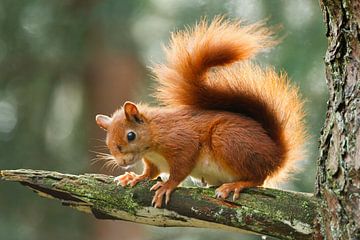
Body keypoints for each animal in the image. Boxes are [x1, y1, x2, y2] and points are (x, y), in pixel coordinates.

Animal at [95, 16, 306, 208]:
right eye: (107, 142)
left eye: (131, 135)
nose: (122, 162)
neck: (154, 137)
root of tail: (275, 156)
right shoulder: (153, 161)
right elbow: (150, 173)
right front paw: (134, 177)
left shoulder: (181, 141)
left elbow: (180, 169)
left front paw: (167, 186)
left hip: (228, 139)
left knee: (259, 178)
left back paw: (235, 185)